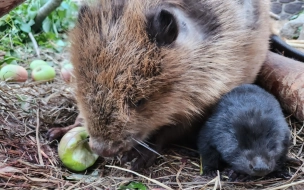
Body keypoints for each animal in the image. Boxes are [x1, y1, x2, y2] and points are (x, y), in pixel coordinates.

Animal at [47, 0, 270, 169]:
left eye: (140, 101)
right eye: (83, 92)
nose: (102, 149)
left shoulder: (211, 88)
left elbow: (176, 128)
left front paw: (139, 157)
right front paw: (59, 130)